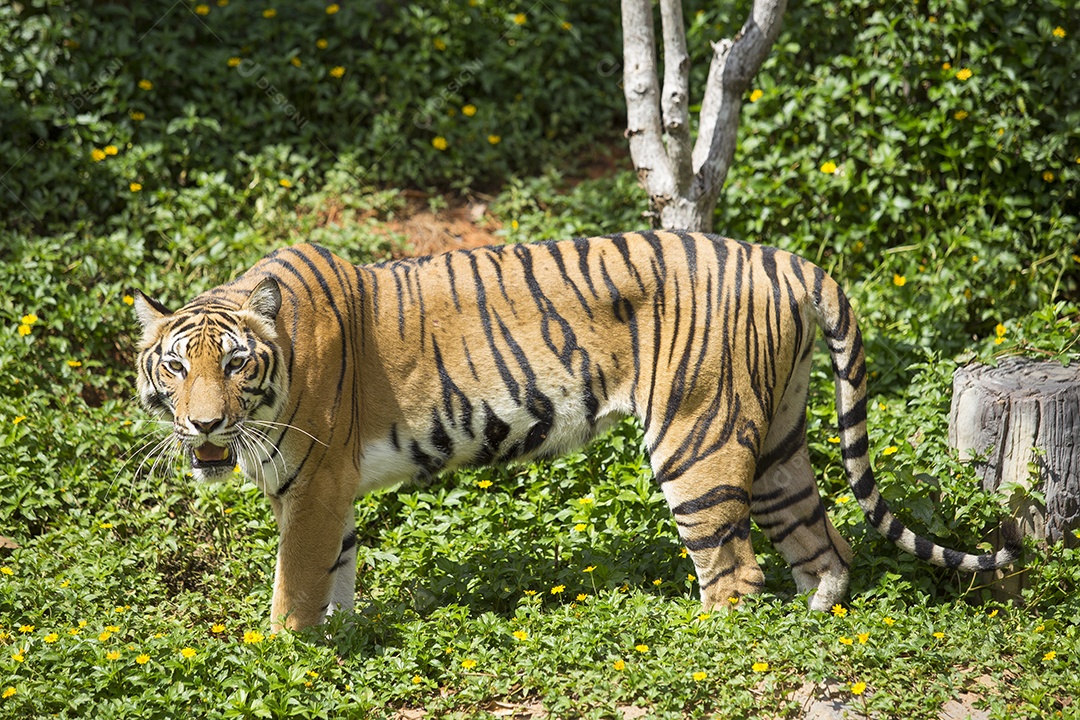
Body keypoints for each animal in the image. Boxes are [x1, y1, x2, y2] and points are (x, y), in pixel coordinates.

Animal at [132, 230, 1020, 631]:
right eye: (176, 368)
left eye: (236, 365)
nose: (204, 423)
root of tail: (787, 259)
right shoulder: (334, 491)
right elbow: (336, 576)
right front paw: (345, 641)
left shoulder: (314, 484)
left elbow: (294, 586)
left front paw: (284, 655)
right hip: (778, 436)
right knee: (822, 543)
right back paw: (815, 627)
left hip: (698, 436)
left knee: (734, 571)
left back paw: (705, 651)